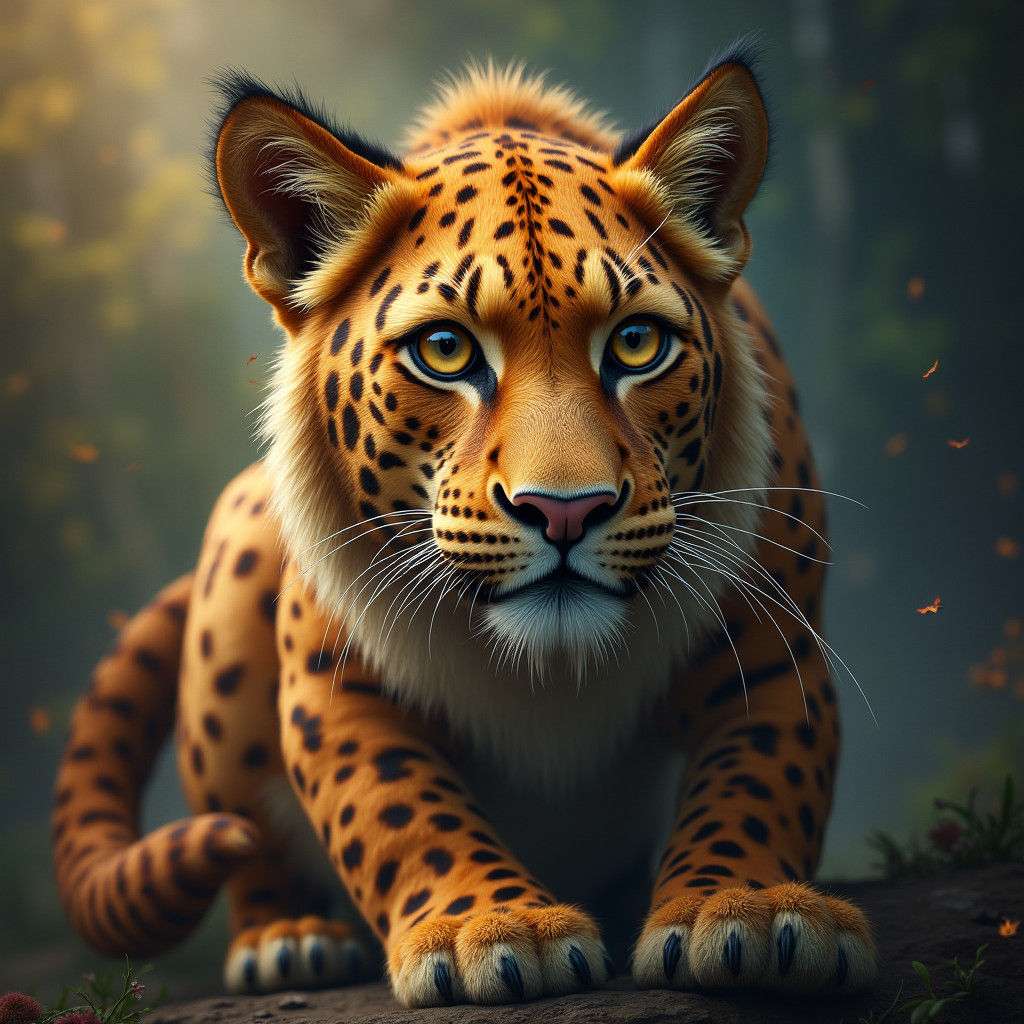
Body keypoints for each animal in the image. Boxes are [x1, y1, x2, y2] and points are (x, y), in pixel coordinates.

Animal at [52, 46, 877, 1007]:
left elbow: (760, 777)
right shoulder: (334, 685)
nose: (566, 509)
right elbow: (401, 811)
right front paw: (492, 926)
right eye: (445, 352)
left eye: (636, 344)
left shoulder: (775, 649)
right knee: (243, 832)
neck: (551, 676)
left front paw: (745, 910)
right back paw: (289, 942)